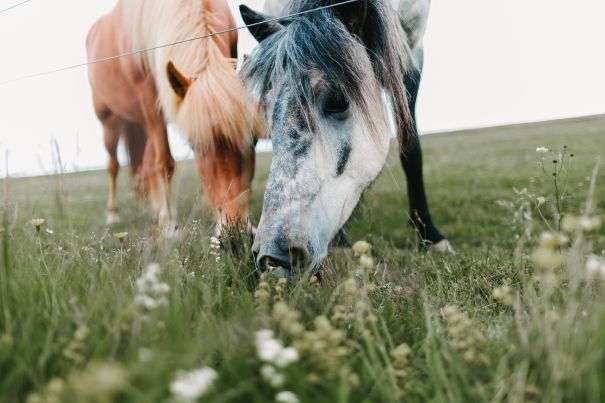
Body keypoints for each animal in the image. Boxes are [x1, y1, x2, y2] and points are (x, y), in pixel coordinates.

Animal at [85, 0, 262, 234]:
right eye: (194, 145)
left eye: (254, 141)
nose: (236, 233)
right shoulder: (151, 104)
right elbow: (165, 163)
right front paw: (169, 224)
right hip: (111, 121)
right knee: (113, 165)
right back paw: (114, 215)